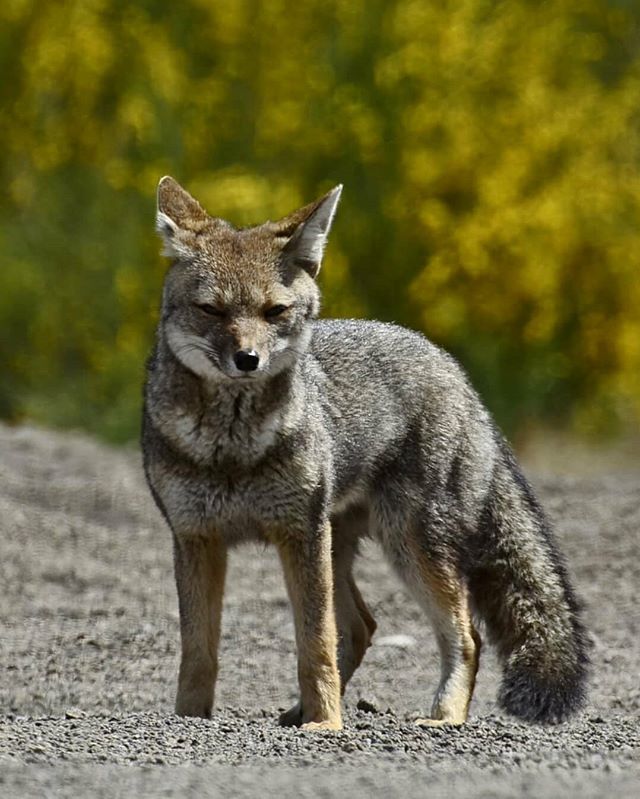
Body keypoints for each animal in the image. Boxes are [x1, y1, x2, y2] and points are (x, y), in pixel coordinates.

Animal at [142, 176, 588, 731]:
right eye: (212, 311)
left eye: (274, 312)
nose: (247, 359)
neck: (233, 450)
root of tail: (449, 364)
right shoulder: (196, 538)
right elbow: (198, 651)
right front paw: (190, 718)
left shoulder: (298, 535)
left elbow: (313, 644)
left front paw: (327, 725)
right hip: (341, 547)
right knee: (361, 628)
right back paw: (300, 711)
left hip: (407, 546)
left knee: (464, 636)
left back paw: (442, 717)